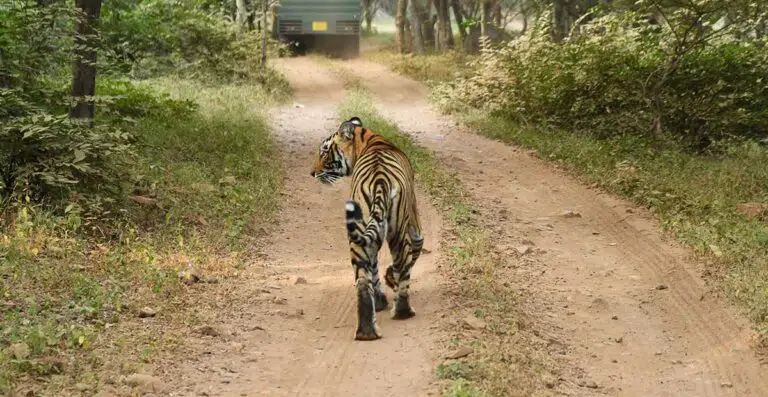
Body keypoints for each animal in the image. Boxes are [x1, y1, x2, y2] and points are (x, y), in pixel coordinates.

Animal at [308, 115, 424, 340]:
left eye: (324, 152)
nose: (312, 173)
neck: (366, 139)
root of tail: (379, 180)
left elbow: (374, 268)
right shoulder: (413, 220)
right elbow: (415, 249)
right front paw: (390, 280)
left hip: (359, 234)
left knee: (362, 280)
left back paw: (367, 332)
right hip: (398, 231)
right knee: (402, 265)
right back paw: (403, 312)